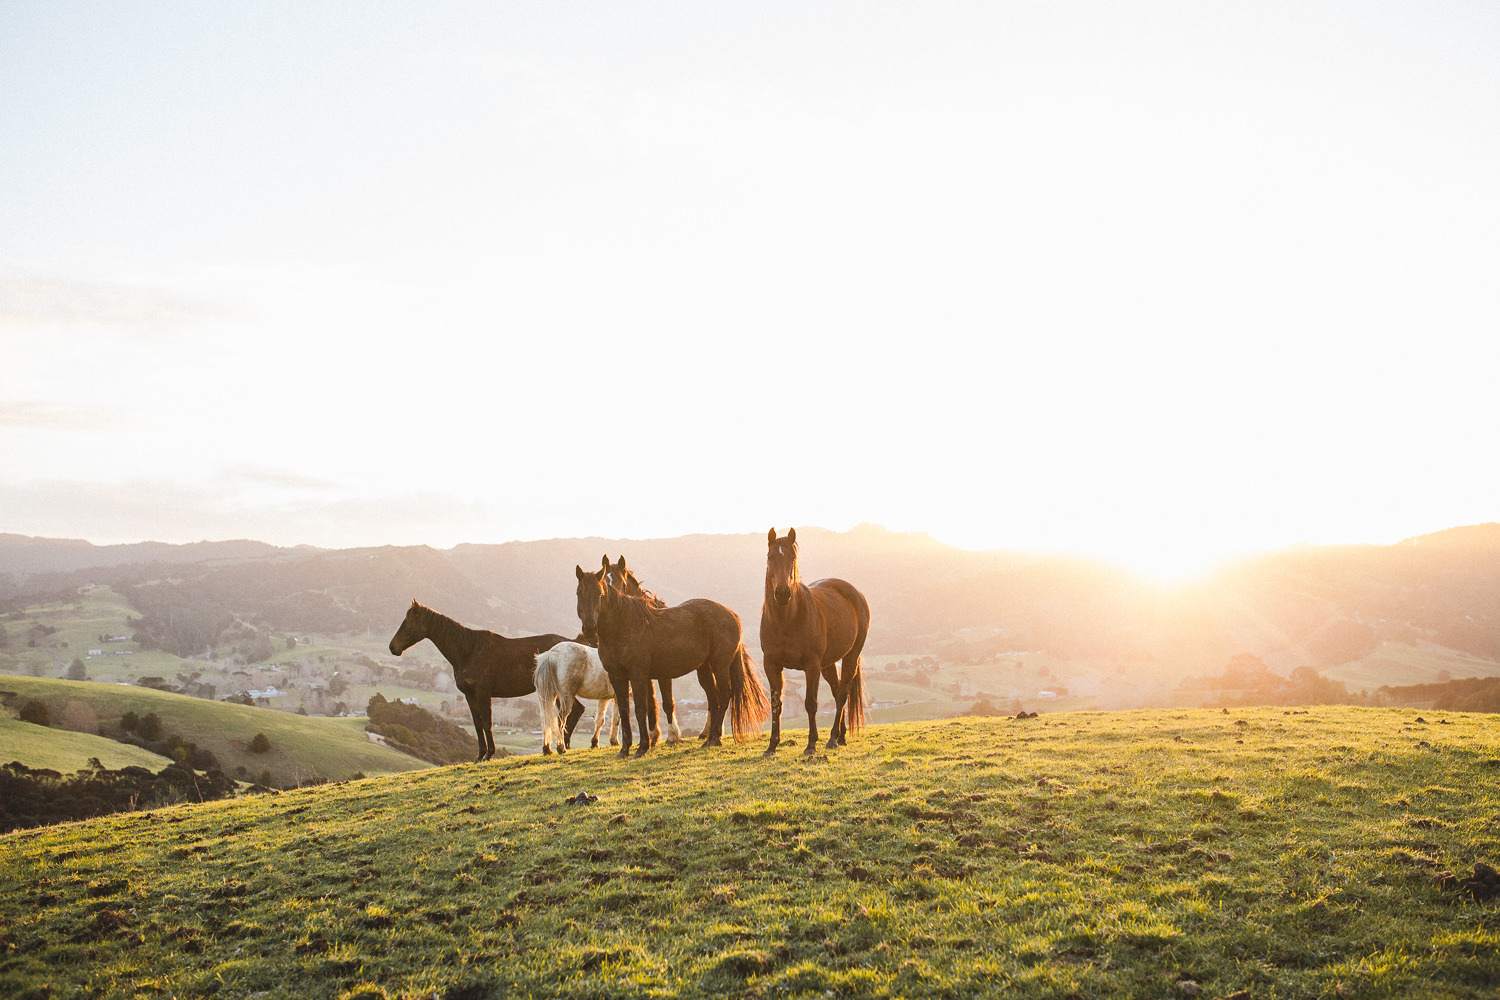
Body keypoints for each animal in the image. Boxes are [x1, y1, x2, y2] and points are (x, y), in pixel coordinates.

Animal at [387, 602, 573, 758]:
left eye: (408, 622)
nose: (392, 647)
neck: (468, 651)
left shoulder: (483, 694)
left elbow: (486, 722)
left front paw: (490, 753)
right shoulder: (470, 695)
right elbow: (477, 724)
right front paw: (481, 755)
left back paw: (561, 747)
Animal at [570, 560, 768, 761]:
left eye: (600, 594)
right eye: (579, 593)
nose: (589, 628)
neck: (624, 627)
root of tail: (731, 615)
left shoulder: (639, 675)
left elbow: (642, 709)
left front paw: (644, 747)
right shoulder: (617, 677)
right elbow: (626, 712)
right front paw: (624, 750)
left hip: (720, 665)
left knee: (724, 695)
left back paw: (713, 739)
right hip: (704, 668)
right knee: (713, 699)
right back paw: (710, 738)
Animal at [756, 527, 876, 755]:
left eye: (792, 558)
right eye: (770, 557)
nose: (782, 593)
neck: (787, 620)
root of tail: (856, 593)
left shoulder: (811, 666)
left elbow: (811, 703)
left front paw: (811, 744)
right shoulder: (772, 664)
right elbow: (776, 704)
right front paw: (772, 746)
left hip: (850, 656)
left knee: (842, 693)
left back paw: (832, 738)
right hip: (828, 664)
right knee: (837, 690)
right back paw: (841, 736)